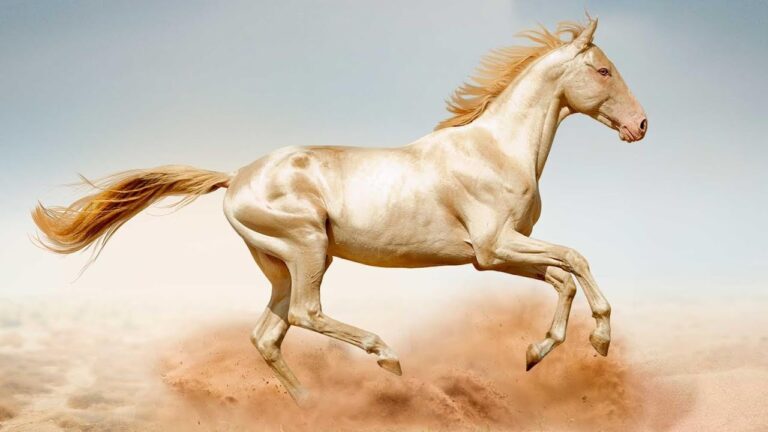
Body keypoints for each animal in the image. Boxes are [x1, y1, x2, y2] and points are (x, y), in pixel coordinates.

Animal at [32, 18, 647, 405]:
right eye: (604, 71)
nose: (641, 126)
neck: (494, 148)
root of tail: (237, 177)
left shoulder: (497, 254)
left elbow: (561, 277)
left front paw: (536, 353)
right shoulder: (495, 247)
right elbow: (576, 260)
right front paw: (599, 340)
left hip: (281, 264)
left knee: (267, 335)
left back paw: (312, 405)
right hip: (308, 249)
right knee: (307, 314)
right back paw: (387, 358)